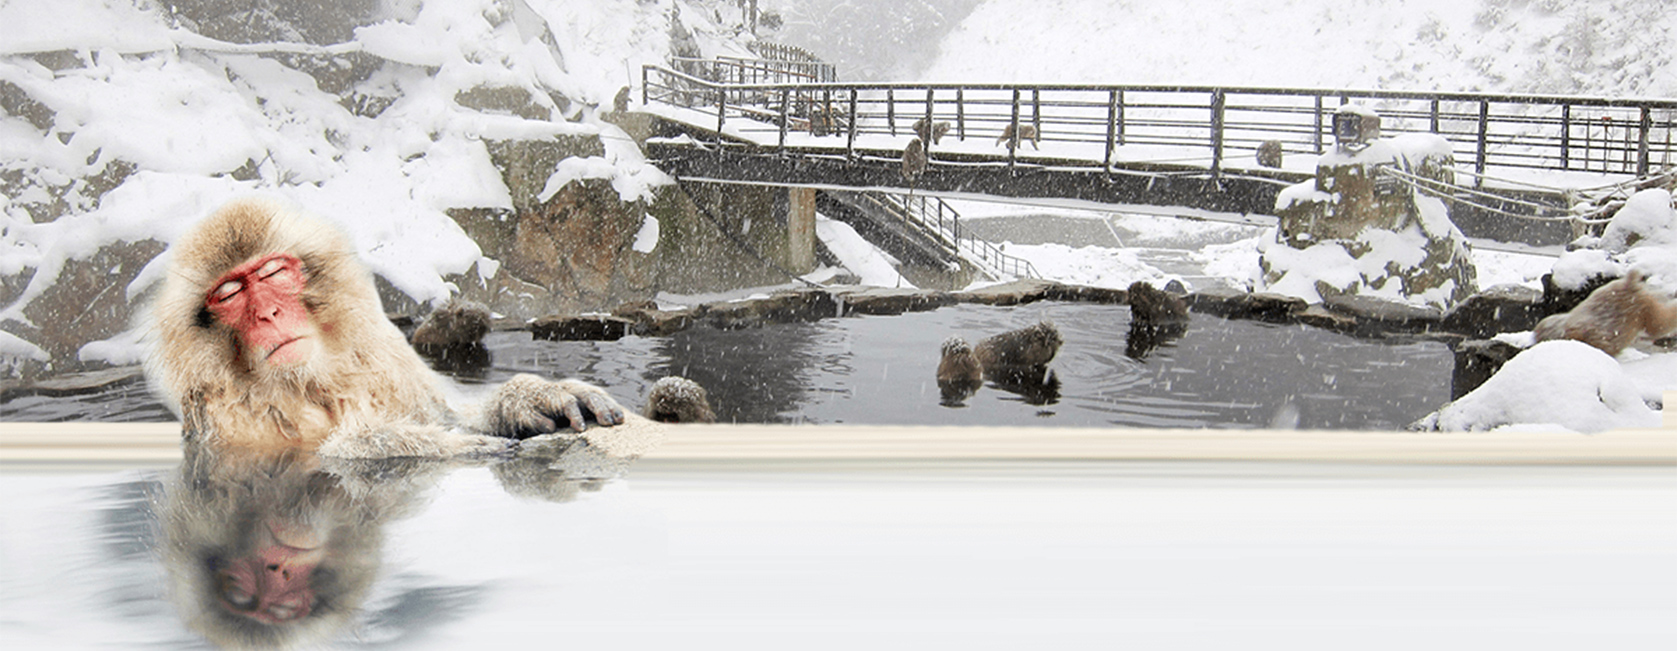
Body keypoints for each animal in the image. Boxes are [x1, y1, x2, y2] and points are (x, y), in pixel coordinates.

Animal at [142, 197, 630, 456]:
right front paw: (459, 446)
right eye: (229, 294)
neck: (310, 383)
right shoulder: (227, 421)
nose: (268, 313)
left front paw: (529, 397)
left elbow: (442, 411)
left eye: (271, 273)